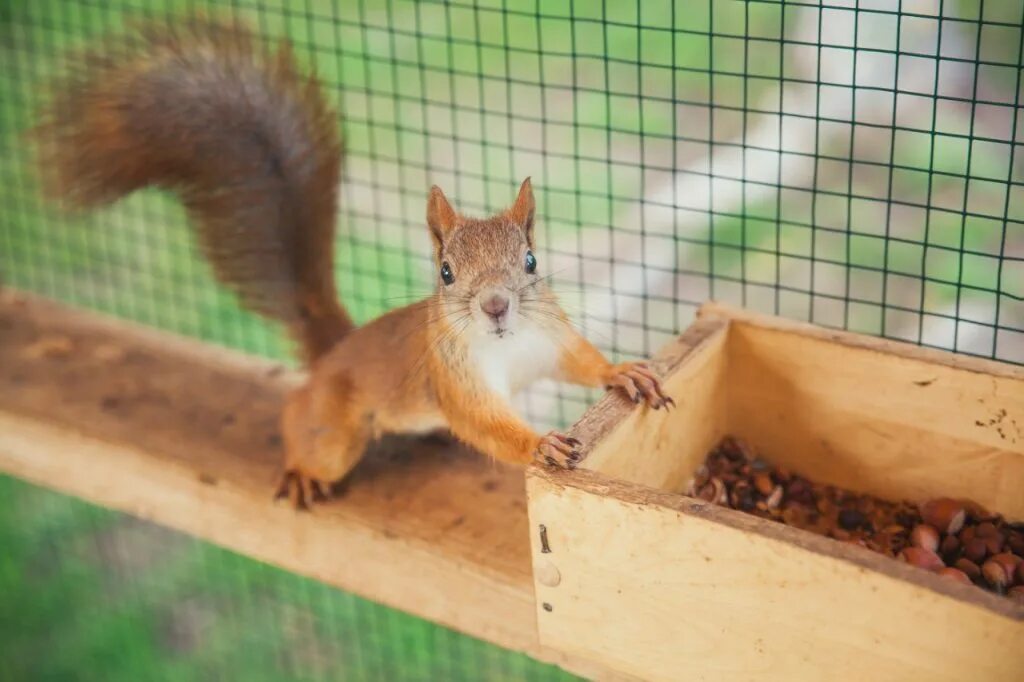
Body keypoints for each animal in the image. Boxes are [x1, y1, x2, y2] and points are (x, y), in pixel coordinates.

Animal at [39, 18, 675, 507]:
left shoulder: (550, 337)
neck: (507, 344)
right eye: (446, 272)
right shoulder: (454, 379)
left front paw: (624, 372)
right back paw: (300, 470)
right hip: (332, 432)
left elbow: (580, 362)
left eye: (531, 260)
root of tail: (334, 354)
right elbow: (484, 425)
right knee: (300, 422)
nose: (496, 306)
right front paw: (538, 443)